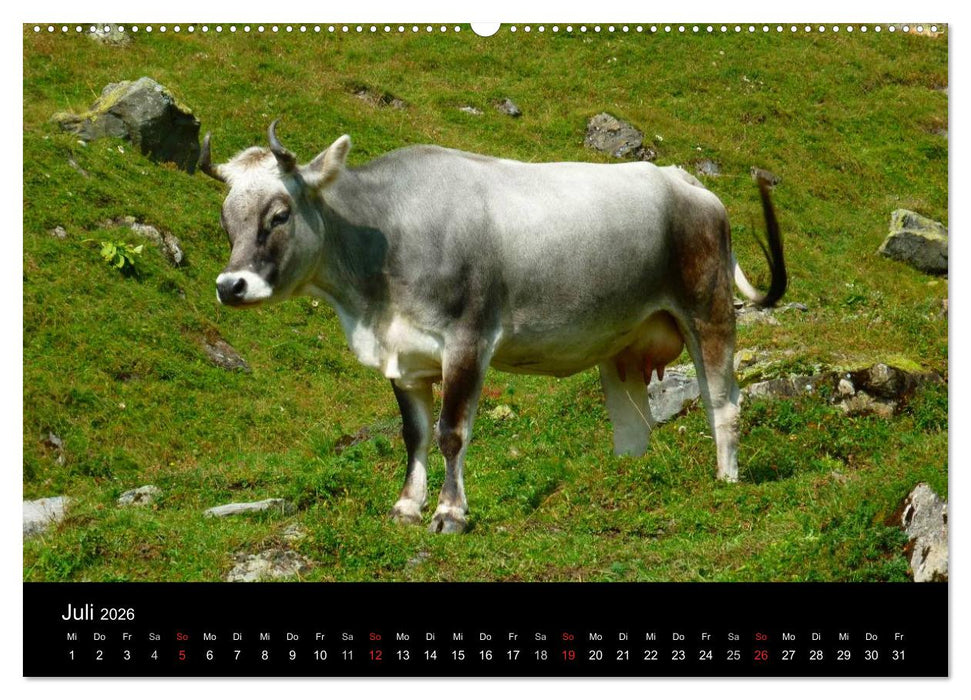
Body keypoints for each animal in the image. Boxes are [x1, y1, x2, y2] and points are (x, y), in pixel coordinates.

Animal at [200, 121, 786, 534]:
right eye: (227, 219)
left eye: (279, 214)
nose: (231, 285)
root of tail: (683, 180)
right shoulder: (405, 358)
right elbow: (414, 434)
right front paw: (407, 506)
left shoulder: (467, 339)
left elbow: (451, 432)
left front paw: (450, 514)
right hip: (623, 343)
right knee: (632, 426)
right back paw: (628, 481)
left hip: (709, 310)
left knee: (722, 401)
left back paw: (726, 478)